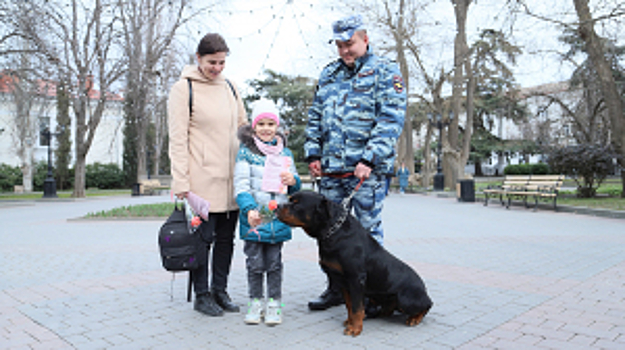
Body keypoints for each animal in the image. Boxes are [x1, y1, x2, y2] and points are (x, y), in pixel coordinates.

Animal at [276, 191, 432, 336]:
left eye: (296, 204)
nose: (277, 206)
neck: (333, 231)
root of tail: (424, 289)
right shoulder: (342, 280)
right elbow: (350, 305)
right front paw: (351, 322)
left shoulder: (356, 278)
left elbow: (357, 307)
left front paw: (355, 328)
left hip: (405, 298)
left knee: (428, 305)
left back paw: (414, 318)